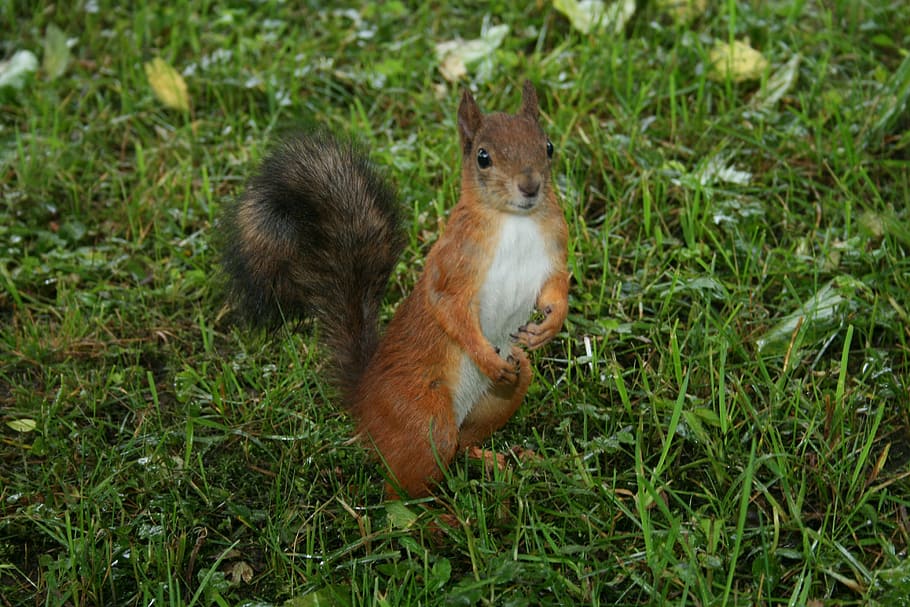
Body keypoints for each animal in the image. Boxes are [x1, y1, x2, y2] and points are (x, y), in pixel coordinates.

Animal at [221, 80, 569, 498]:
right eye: (483, 157)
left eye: (548, 146)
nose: (530, 186)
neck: (516, 221)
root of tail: (364, 400)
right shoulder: (451, 266)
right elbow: (449, 309)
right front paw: (486, 357)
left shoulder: (553, 250)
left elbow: (556, 288)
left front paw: (550, 325)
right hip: (423, 418)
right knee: (400, 489)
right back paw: (433, 511)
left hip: (505, 393)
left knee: (463, 442)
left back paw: (492, 459)